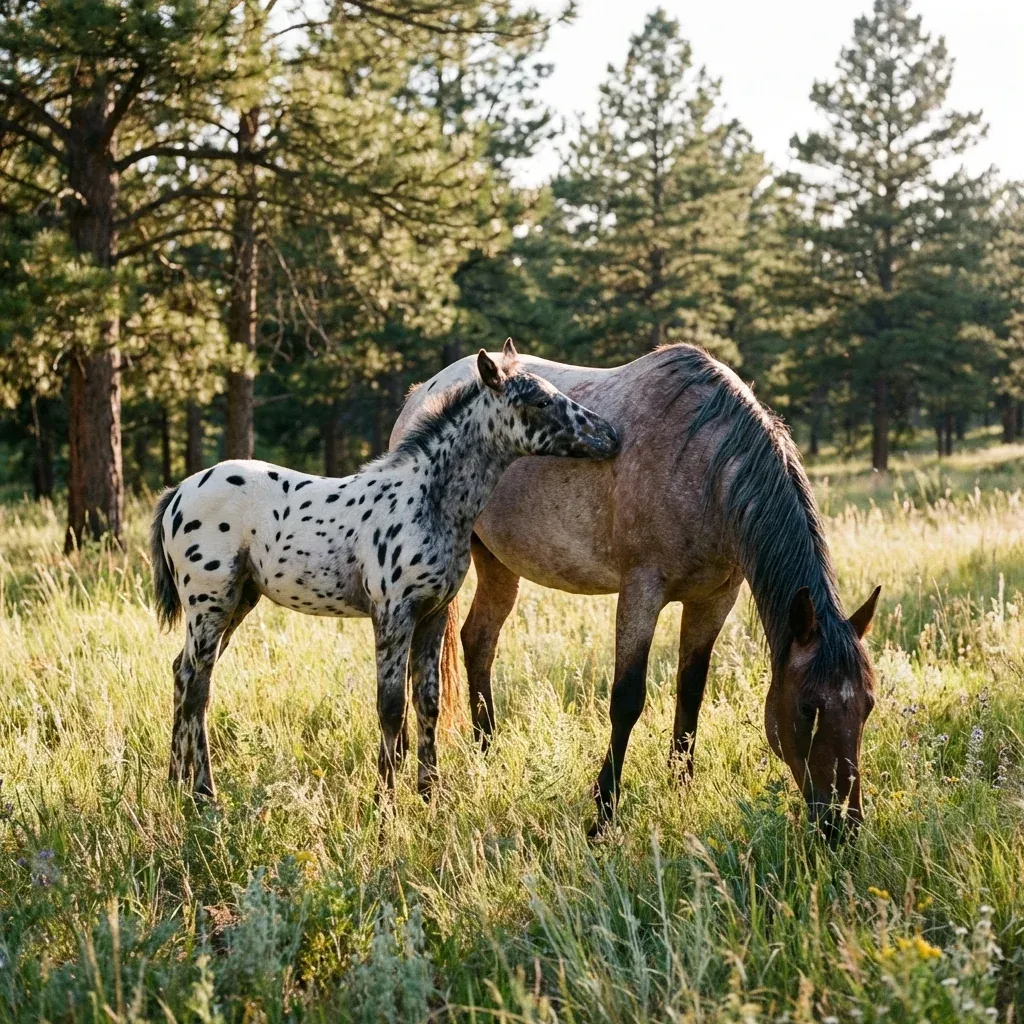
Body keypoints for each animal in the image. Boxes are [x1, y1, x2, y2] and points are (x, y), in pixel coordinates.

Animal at [150, 344, 619, 803]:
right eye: (541, 401)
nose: (611, 436)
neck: (427, 500)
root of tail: (179, 492)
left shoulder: (432, 615)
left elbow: (427, 701)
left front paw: (430, 796)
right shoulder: (393, 614)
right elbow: (391, 707)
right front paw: (385, 802)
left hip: (239, 600)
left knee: (183, 673)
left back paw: (175, 782)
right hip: (210, 603)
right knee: (198, 688)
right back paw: (203, 792)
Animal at [392, 343, 880, 843]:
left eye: (867, 706)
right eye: (807, 707)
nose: (844, 825)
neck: (707, 466)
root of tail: (421, 392)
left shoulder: (714, 600)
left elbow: (690, 694)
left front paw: (681, 787)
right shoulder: (641, 589)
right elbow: (627, 700)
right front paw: (603, 813)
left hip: (497, 563)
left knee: (479, 640)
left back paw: (487, 752)